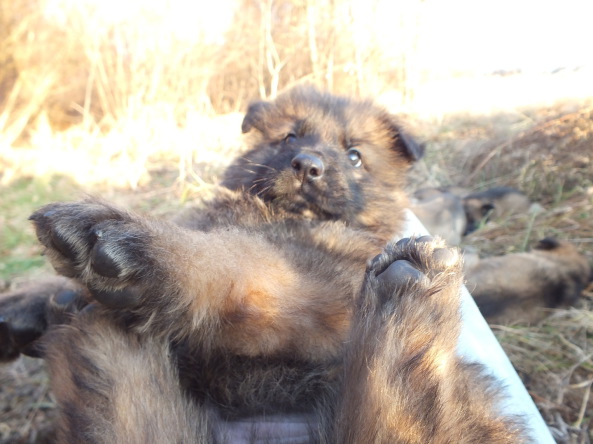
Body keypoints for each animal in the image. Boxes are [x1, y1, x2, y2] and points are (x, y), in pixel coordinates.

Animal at [0, 86, 527, 443]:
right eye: (288, 137)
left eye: (355, 156)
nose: (308, 166)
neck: (288, 216)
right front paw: (21, 303)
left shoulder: (324, 285)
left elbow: (236, 256)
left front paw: (134, 245)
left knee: (402, 423)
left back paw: (410, 297)